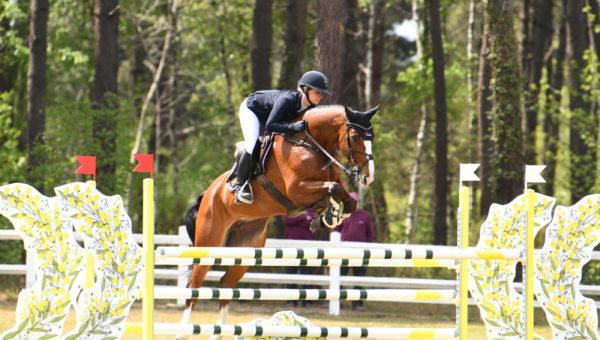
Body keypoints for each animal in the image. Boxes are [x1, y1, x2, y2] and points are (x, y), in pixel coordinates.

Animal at [176, 104, 380, 334]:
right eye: (354, 137)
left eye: (372, 137)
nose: (369, 176)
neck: (311, 145)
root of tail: (207, 195)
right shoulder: (297, 190)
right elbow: (333, 189)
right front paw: (330, 214)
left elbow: (346, 199)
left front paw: (329, 216)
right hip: (210, 243)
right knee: (193, 288)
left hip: (245, 249)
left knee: (225, 287)